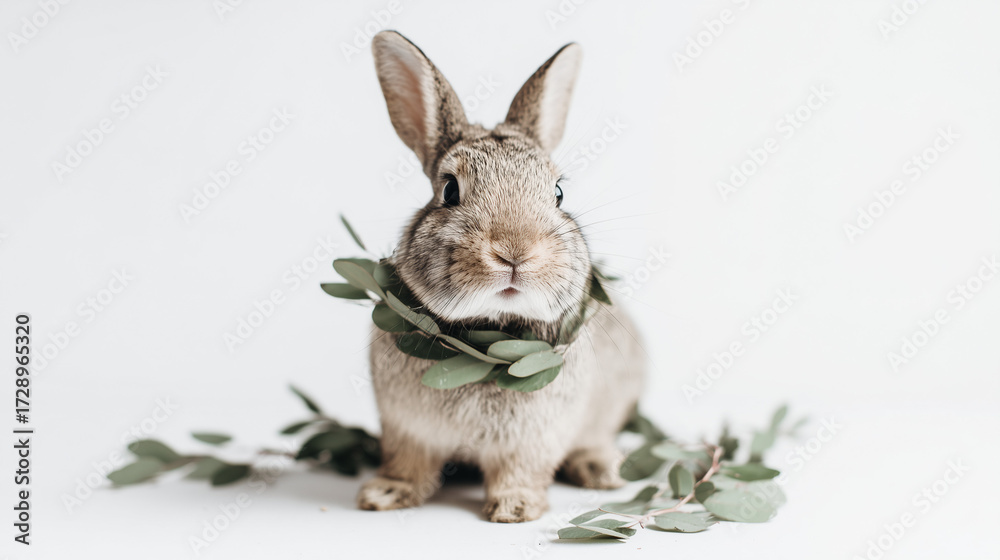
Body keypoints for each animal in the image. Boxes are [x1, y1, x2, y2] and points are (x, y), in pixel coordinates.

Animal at [357, 30, 645, 523]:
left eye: (558, 192)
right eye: (449, 189)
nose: (515, 252)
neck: (486, 338)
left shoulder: (536, 436)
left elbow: (521, 469)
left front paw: (514, 508)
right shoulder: (405, 428)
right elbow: (408, 462)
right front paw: (384, 495)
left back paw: (600, 468)